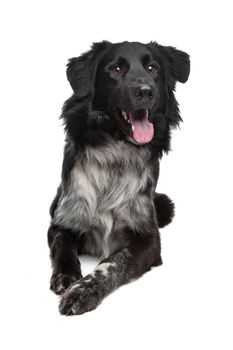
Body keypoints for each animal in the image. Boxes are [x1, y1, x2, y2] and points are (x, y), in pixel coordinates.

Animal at [47, 40, 189, 314]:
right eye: (115, 69)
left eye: (153, 68)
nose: (145, 91)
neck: (116, 153)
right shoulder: (62, 222)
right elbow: (63, 248)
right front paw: (66, 278)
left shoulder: (149, 240)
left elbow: (113, 261)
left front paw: (83, 290)